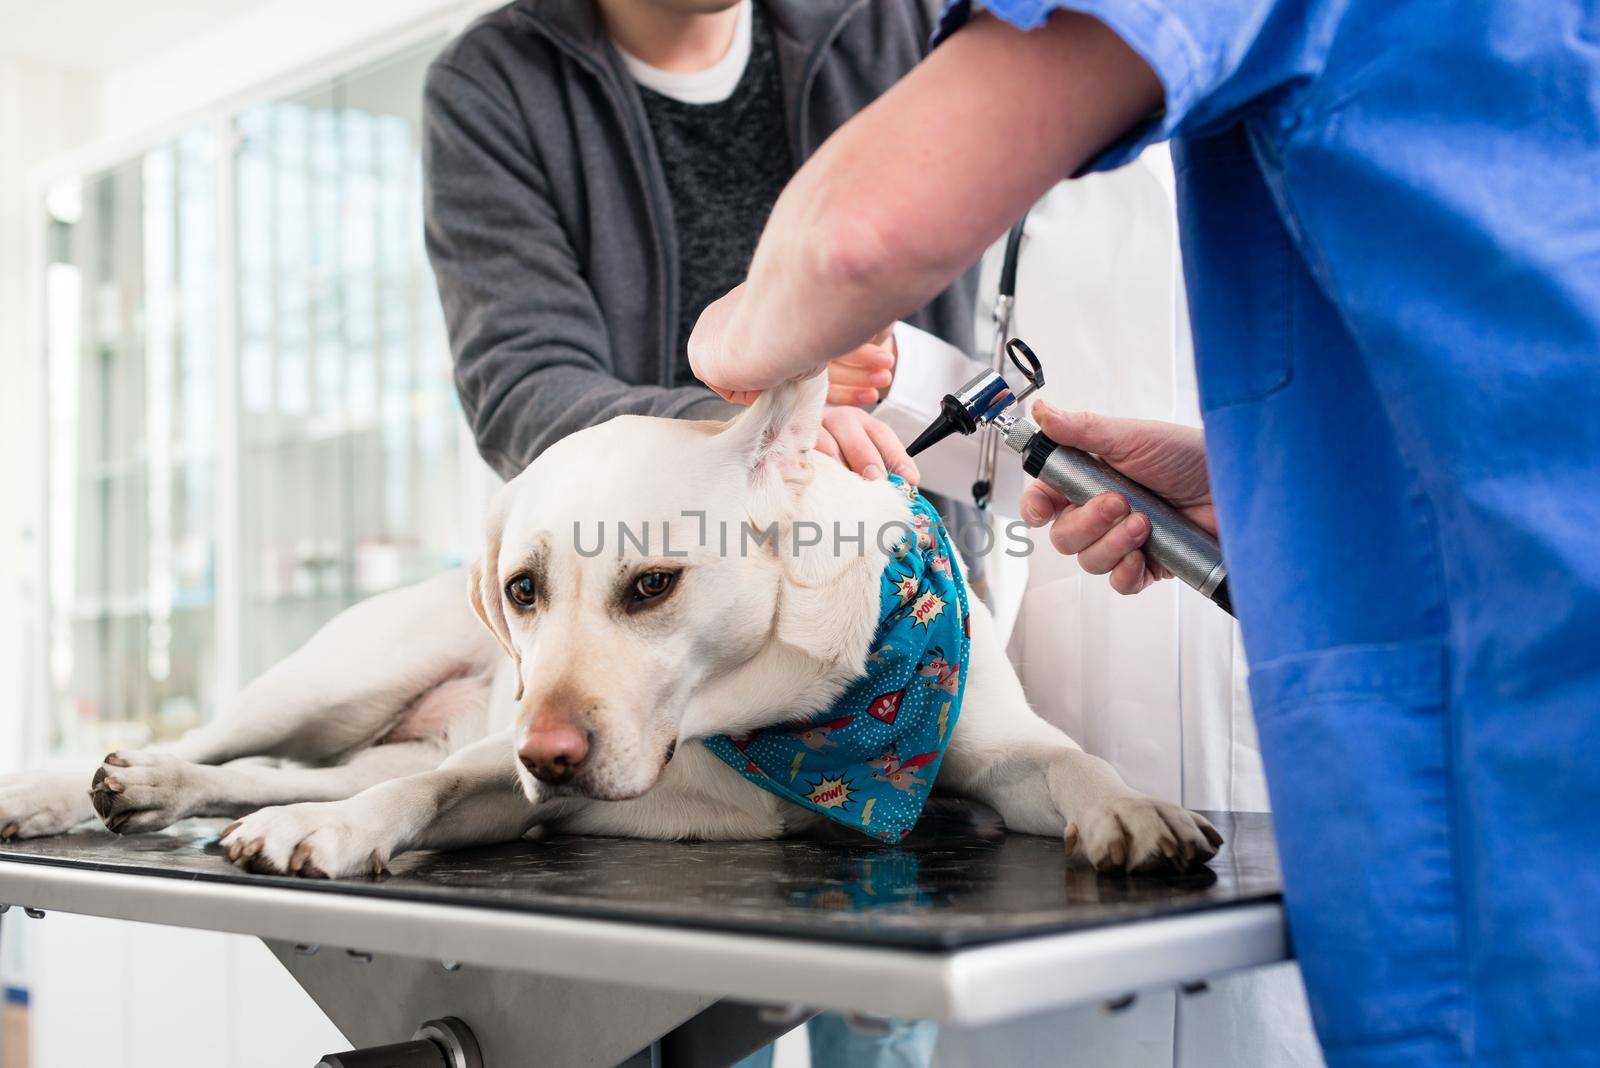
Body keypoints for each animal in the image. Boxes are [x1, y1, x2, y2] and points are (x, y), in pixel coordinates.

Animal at [0, 378, 1216, 882]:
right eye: (525, 590)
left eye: (653, 586)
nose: (549, 753)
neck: (775, 719)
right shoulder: (503, 782)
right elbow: (427, 791)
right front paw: (337, 839)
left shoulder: (996, 757)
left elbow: (1069, 761)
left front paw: (1136, 807)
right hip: (336, 680)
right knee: (228, 741)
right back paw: (84, 786)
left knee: (269, 774)